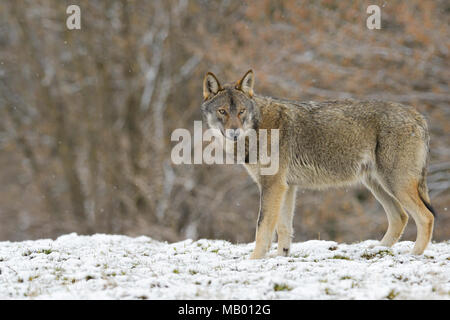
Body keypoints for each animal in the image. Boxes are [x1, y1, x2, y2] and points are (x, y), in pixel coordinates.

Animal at [201, 69, 436, 258]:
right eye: (222, 111)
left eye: (241, 111)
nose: (234, 132)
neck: (258, 129)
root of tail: (417, 115)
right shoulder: (286, 188)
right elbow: (284, 228)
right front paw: (281, 257)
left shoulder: (272, 186)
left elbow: (263, 228)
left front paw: (254, 260)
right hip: (378, 185)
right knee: (400, 217)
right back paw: (378, 250)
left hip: (395, 185)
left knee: (426, 217)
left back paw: (413, 255)